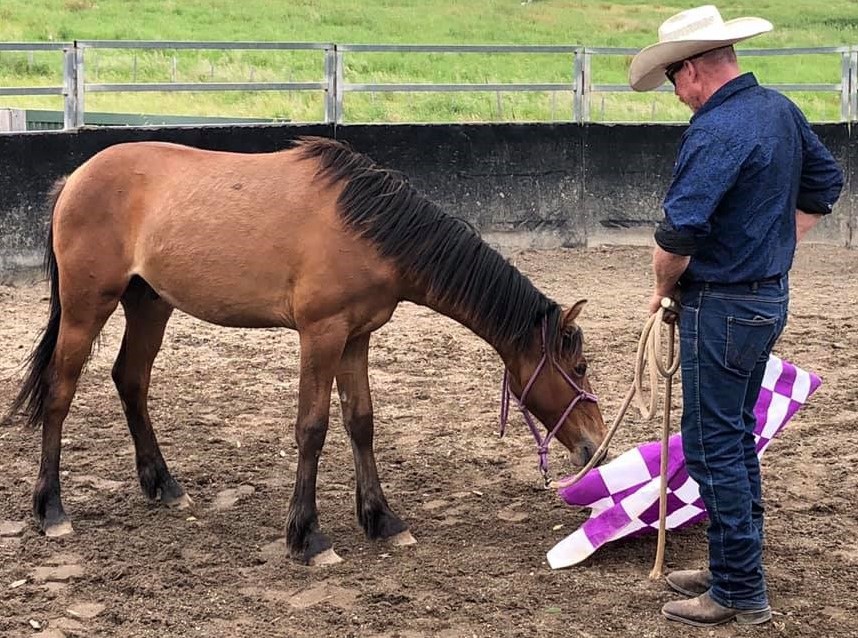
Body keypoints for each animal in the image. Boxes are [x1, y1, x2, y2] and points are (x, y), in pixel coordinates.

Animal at [8, 139, 608, 564]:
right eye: (578, 367)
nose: (595, 448)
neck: (367, 228)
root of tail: (75, 178)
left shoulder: (356, 338)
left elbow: (361, 422)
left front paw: (382, 521)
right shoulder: (320, 335)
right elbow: (312, 428)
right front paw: (308, 536)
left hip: (149, 304)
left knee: (131, 379)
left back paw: (165, 486)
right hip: (87, 308)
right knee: (60, 392)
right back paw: (52, 509)